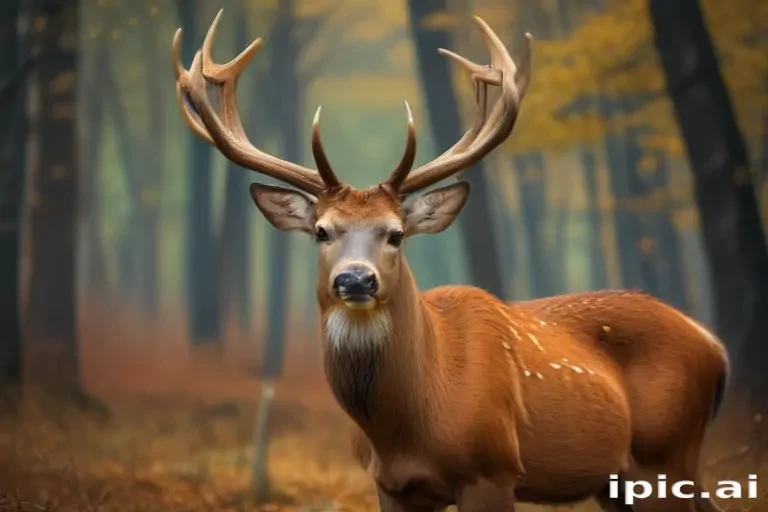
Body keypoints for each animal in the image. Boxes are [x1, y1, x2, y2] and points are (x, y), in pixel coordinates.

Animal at [172, 10, 730, 512]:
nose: (356, 280)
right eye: (321, 231)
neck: (409, 428)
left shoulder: (493, 469)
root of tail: (715, 346)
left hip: (663, 458)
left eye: (396, 234)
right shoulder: (391, 486)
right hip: (623, 481)